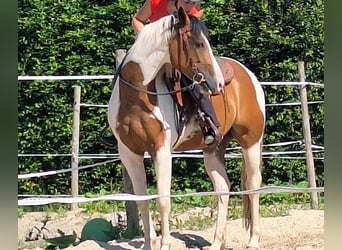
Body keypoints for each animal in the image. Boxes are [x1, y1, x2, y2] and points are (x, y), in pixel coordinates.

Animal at [107, 6, 264, 249]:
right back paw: (216, 242)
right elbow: (142, 201)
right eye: (198, 44)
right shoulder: (129, 152)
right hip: (213, 149)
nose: (218, 83)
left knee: (253, 185)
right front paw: (148, 244)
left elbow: (163, 201)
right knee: (223, 188)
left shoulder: (161, 151)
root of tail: (249, 75)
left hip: (251, 141)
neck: (136, 97)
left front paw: (165, 244)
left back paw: (254, 240)